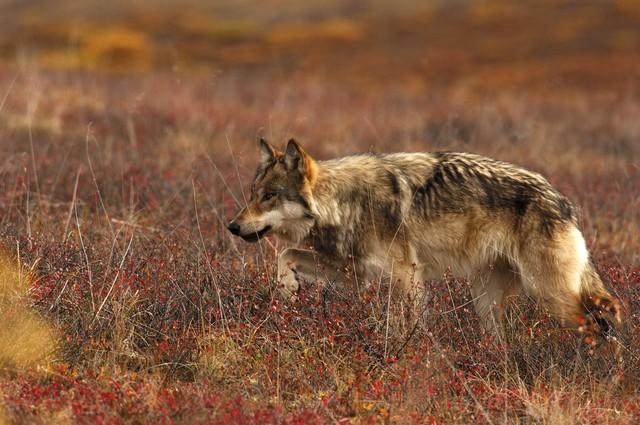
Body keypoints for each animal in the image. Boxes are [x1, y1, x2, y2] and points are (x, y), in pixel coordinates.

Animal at [229, 140, 620, 342]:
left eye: (269, 196)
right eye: (252, 194)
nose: (232, 226)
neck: (343, 201)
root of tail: (563, 200)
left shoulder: (406, 272)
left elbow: (407, 323)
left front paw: (407, 354)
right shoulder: (355, 273)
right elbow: (286, 253)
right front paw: (287, 289)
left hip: (550, 294)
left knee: (603, 319)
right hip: (486, 299)